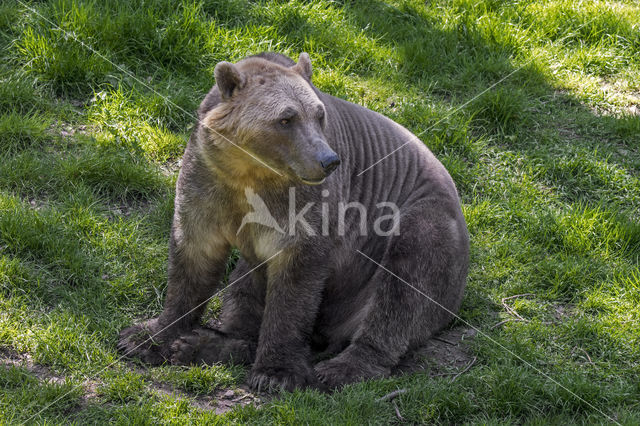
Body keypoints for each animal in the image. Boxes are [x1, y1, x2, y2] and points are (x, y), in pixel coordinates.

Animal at [119, 51, 470, 392]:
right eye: (286, 118)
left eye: (319, 115)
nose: (328, 161)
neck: (249, 172)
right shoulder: (207, 180)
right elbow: (193, 254)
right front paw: (145, 337)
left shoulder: (303, 207)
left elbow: (295, 281)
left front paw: (276, 372)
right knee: (243, 288)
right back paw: (202, 344)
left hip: (419, 224)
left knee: (403, 287)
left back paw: (342, 368)